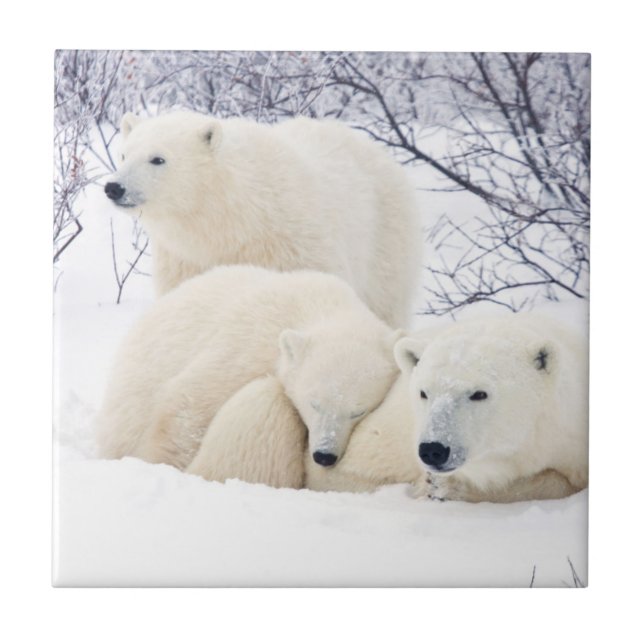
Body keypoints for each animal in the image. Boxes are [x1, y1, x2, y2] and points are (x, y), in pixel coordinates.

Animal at [103, 110, 421, 328]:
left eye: (158, 159)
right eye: (124, 154)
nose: (114, 188)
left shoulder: (294, 247)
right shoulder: (186, 260)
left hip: (384, 236)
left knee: (386, 303)